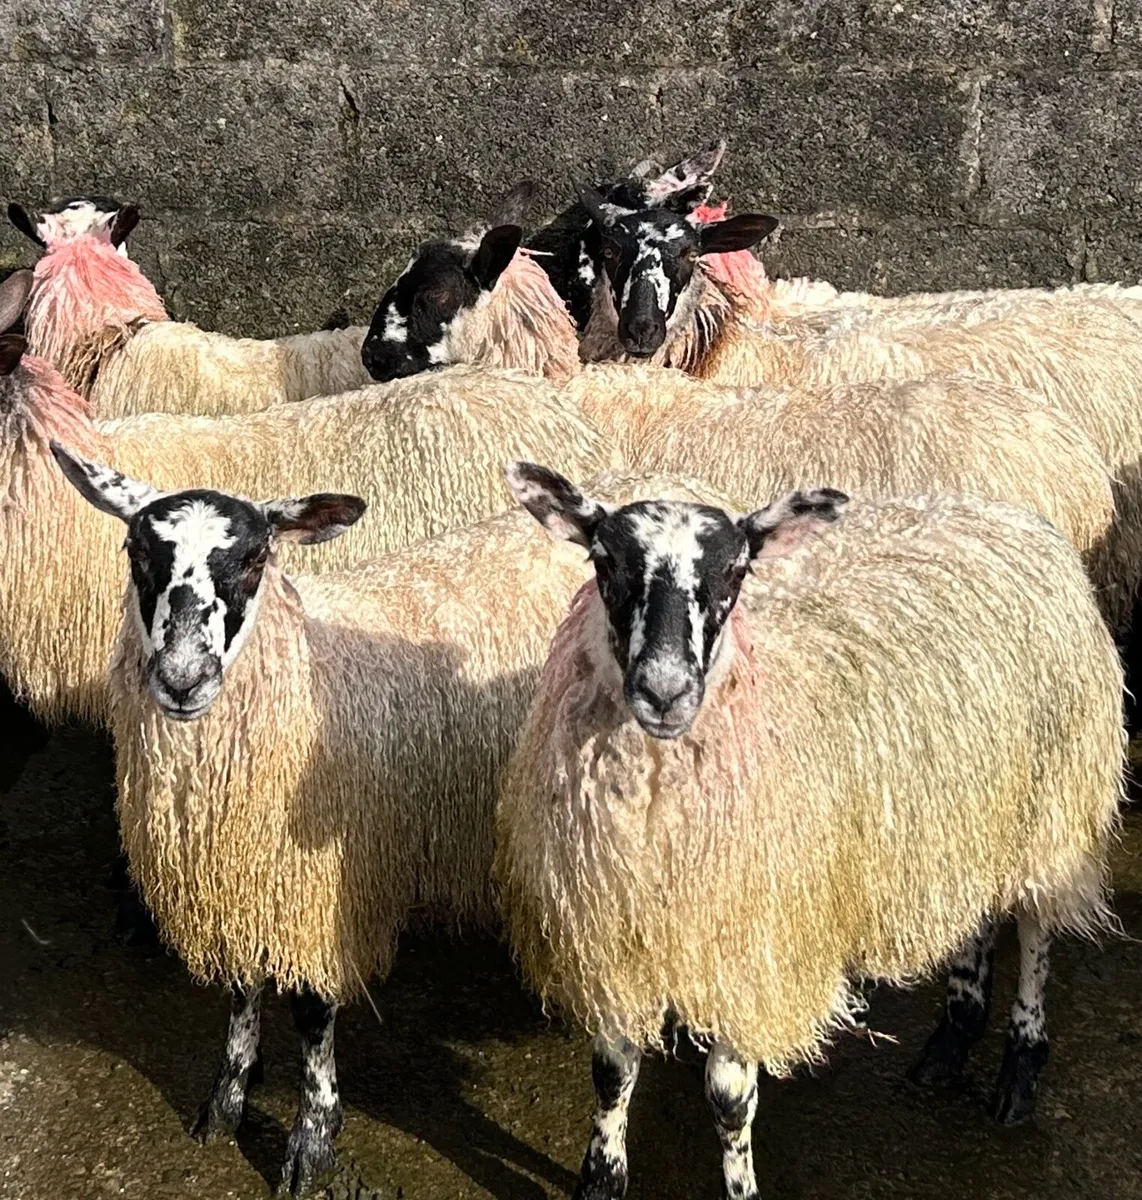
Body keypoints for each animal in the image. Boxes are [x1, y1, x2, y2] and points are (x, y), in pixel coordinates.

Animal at [52, 444, 732, 1195]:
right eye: (137, 553)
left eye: (256, 560)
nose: (181, 679)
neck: (303, 671)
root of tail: (684, 484)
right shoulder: (249, 869)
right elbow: (242, 984)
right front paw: (227, 1097)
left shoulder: (316, 889)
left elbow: (312, 1011)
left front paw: (312, 1136)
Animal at [496, 463, 1124, 1199]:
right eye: (605, 562)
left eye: (735, 571)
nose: (664, 692)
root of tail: (1002, 511)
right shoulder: (613, 932)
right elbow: (612, 1072)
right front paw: (600, 1179)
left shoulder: (754, 947)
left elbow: (728, 1097)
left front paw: (741, 1189)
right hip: (966, 815)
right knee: (973, 913)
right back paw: (950, 1042)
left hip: (1050, 804)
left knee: (1034, 929)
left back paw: (1020, 1068)